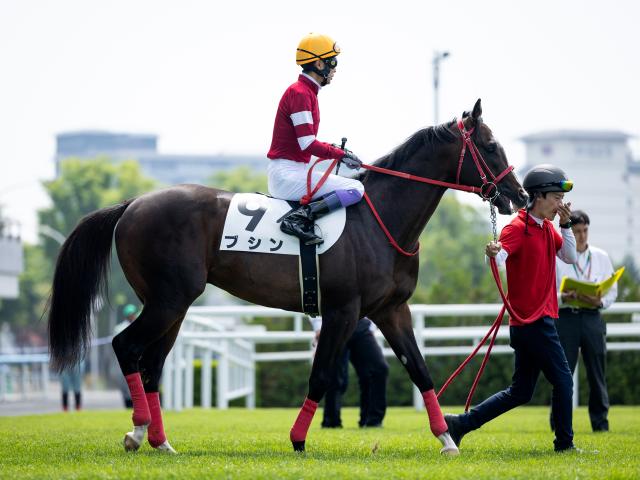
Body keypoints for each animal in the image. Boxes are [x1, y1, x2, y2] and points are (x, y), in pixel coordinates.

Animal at [47, 99, 528, 456]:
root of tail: (132, 204)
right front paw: (298, 439)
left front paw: (447, 438)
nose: (518, 196)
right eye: (490, 146)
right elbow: (320, 375)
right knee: (126, 348)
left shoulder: (393, 311)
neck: (380, 219)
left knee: (151, 365)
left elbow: (421, 370)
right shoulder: (342, 311)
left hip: (173, 307)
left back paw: (159, 441)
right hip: (169, 301)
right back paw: (138, 431)